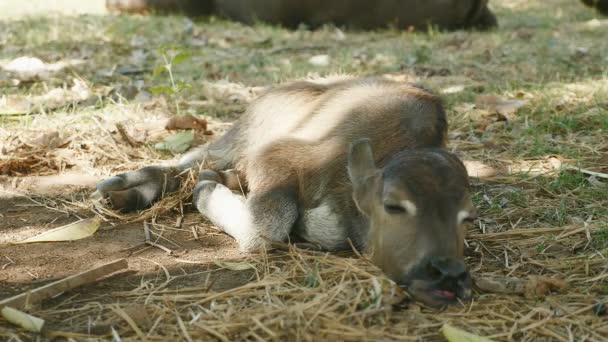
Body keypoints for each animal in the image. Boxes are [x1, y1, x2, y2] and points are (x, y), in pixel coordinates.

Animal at [95, 77, 476, 308]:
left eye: (466, 217)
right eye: (394, 206)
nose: (448, 272)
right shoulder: (276, 156)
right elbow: (267, 227)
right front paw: (206, 189)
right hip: (240, 136)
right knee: (194, 159)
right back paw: (126, 187)